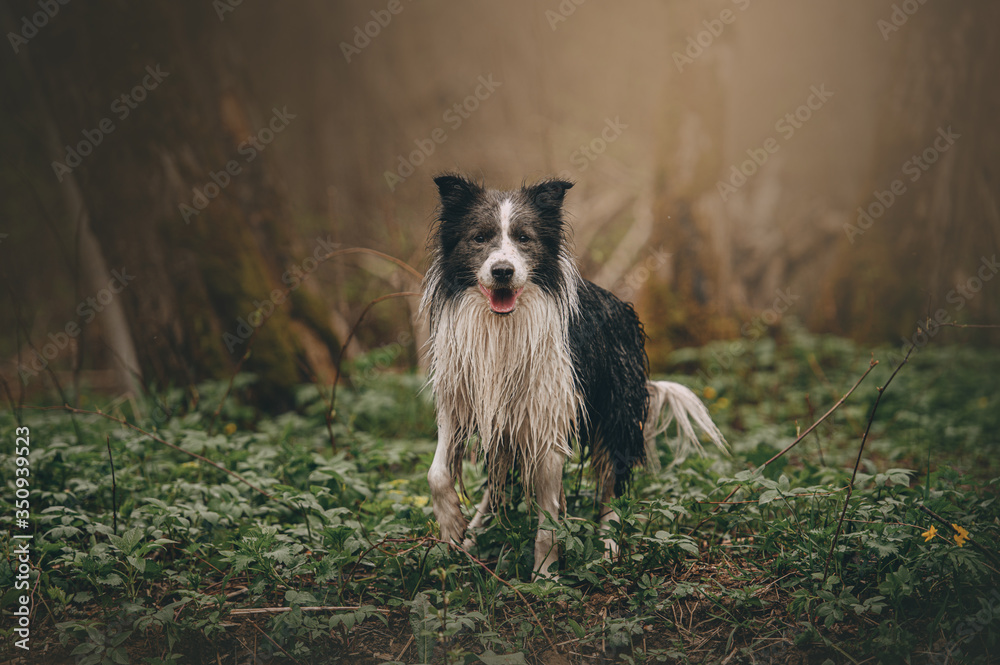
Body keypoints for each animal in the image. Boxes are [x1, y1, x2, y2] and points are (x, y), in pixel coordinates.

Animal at [422, 175, 728, 576]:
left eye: (524, 238)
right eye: (480, 237)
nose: (502, 271)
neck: (504, 327)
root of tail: (623, 310)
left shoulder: (548, 423)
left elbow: (549, 518)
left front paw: (544, 575)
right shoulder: (459, 404)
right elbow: (437, 473)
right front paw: (453, 528)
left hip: (616, 415)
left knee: (612, 487)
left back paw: (608, 550)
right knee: (497, 487)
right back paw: (473, 536)